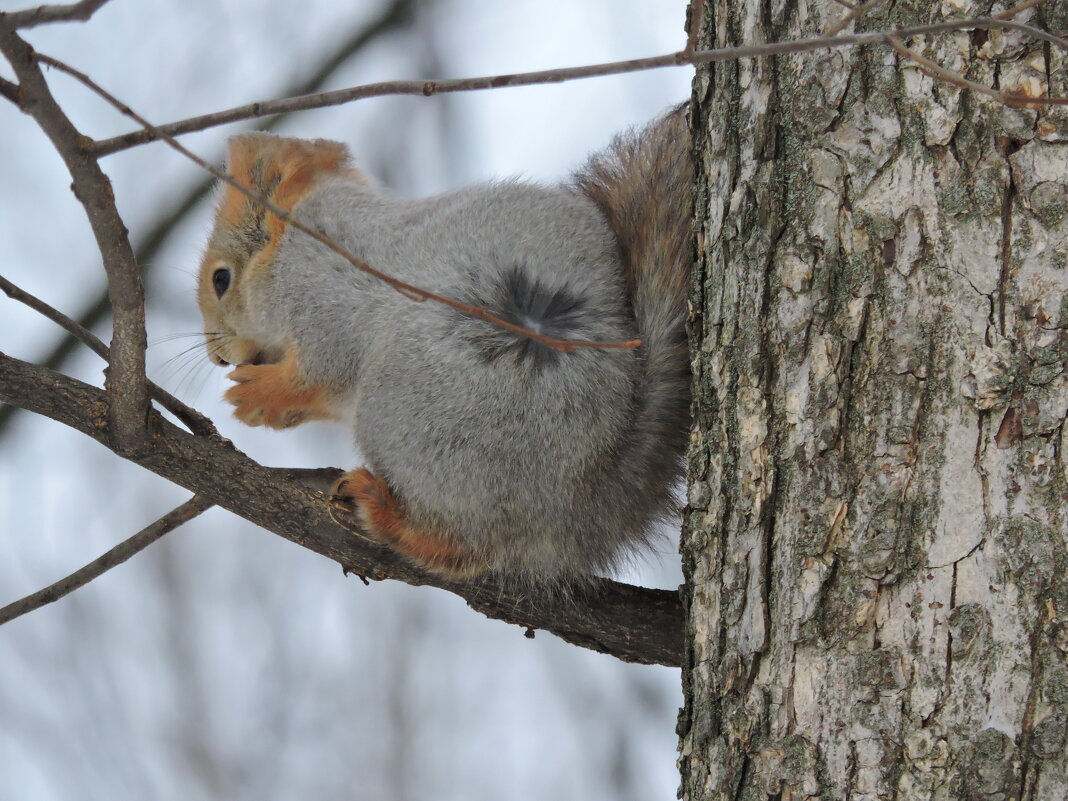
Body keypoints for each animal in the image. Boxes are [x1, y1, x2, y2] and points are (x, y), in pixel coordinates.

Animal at [195, 105, 687, 585]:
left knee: (462, 547)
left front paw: (257, 394)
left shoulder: (326, 301)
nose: (217, 357)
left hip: (406, 408)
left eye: (221, 279)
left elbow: (319, 373)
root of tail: (566, 506)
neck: (286, 250)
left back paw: (384, 512)